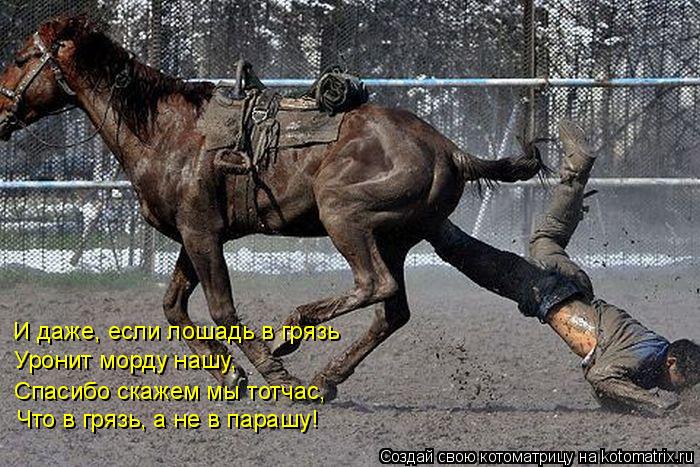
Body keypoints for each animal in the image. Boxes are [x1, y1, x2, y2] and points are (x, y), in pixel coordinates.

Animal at [0, 16, 544, 400]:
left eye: (23, 57)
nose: (1, 108)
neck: (166, 132)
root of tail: (448, 149)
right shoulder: (193, 236)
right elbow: (173, 307)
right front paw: (227, 374)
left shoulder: (202, 235)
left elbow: (221, 309)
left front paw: (271, 372)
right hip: (394, 238)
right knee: (393, 311)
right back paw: (326, 378)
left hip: (344, 215)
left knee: (375, 285)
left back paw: (292, 333)